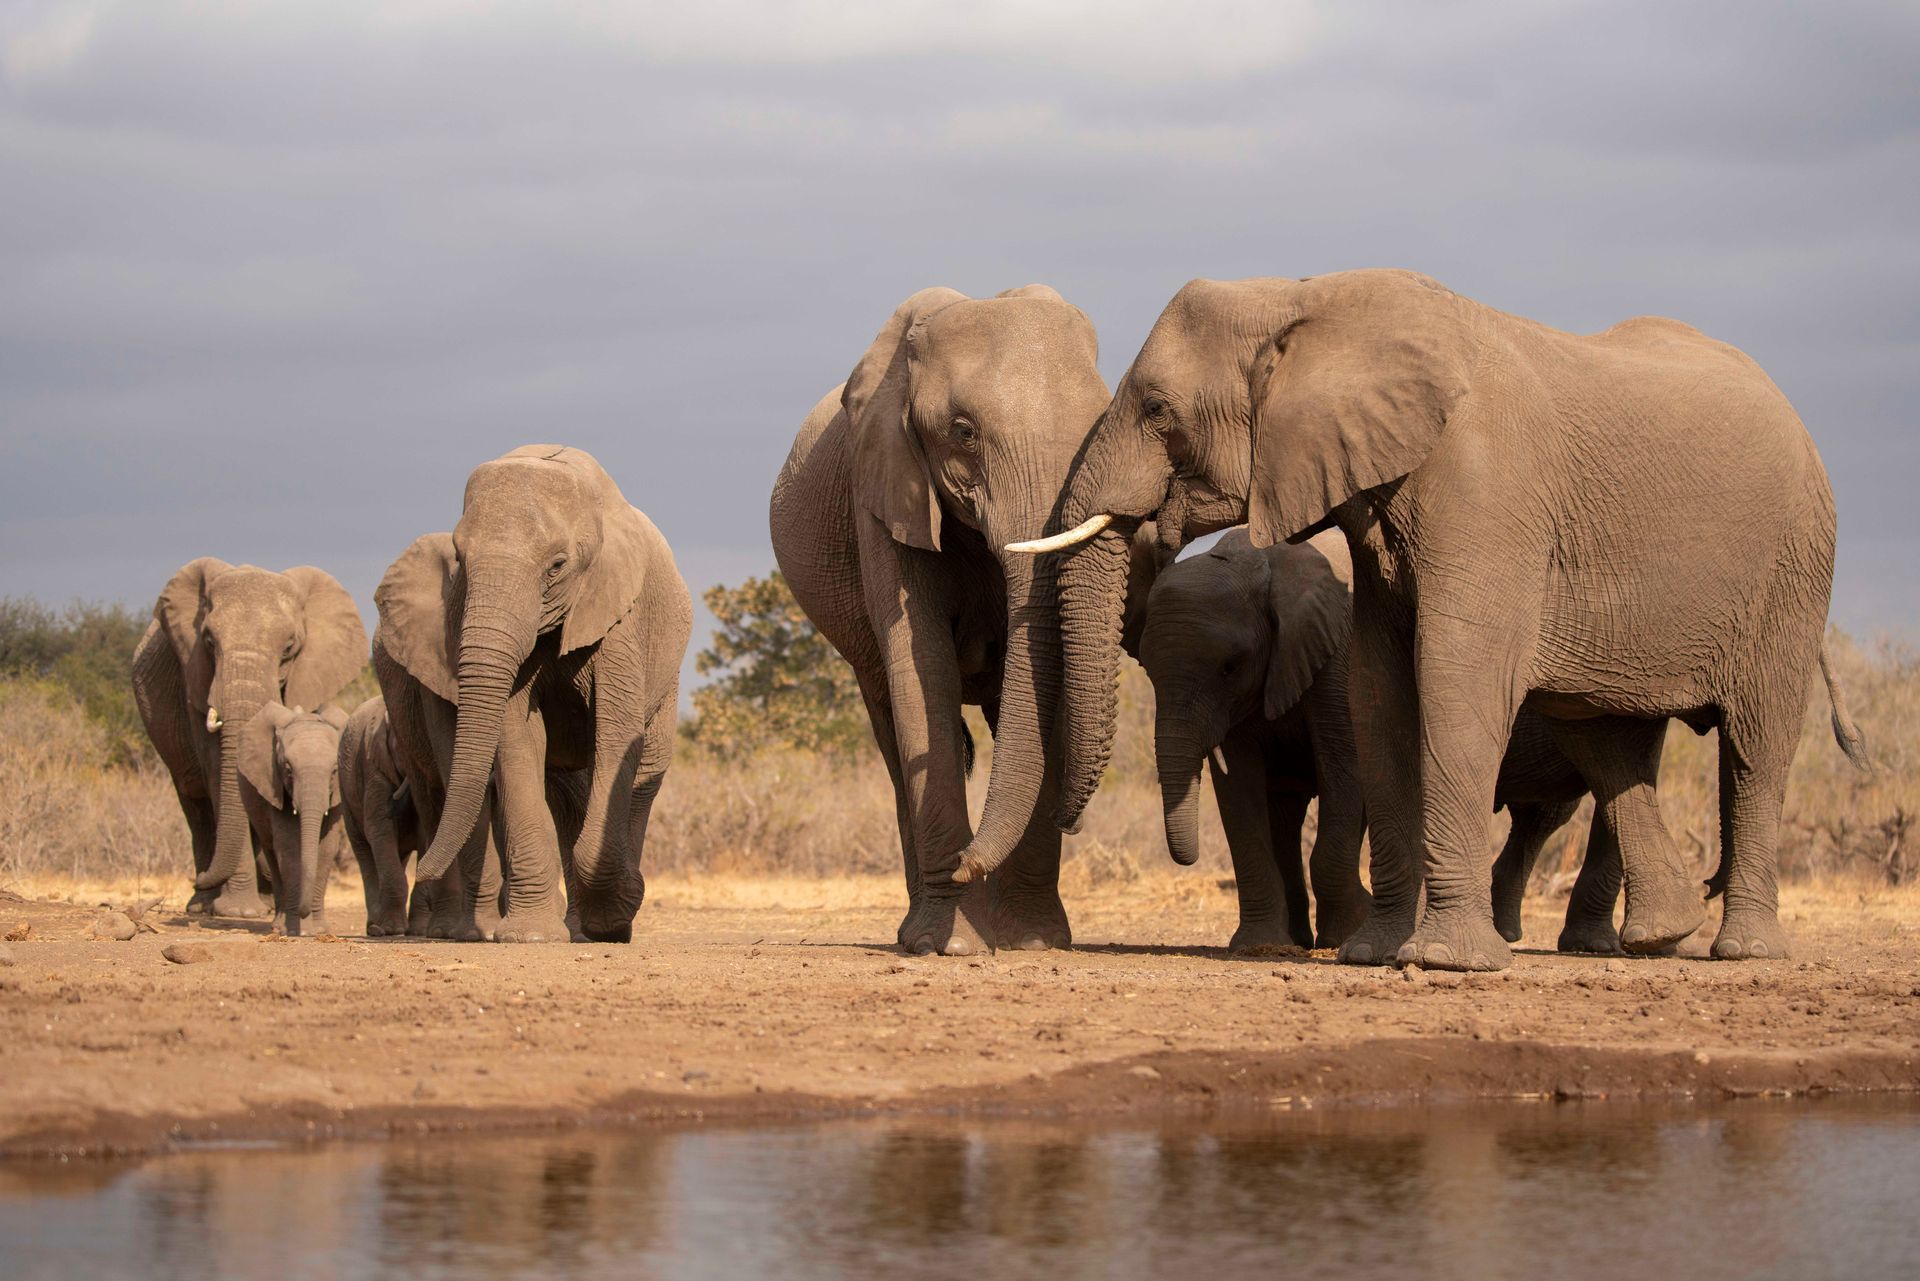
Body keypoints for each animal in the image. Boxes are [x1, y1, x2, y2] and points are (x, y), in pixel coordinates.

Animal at [238, 702, 349, 936]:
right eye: (288, 770)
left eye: (334, 770)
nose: (302, 912)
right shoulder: (274, 786)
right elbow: (289, 848)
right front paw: (299, 931)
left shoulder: (337, 795)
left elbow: (327, 848)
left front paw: (318, 931)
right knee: (271, 851)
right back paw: (278, 926)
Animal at [337, 695, 422, 937]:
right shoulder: (373, 767)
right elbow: (379, 827)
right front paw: (393, 929)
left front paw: (419, 928)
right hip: (347, 796)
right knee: (365, 852)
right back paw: (376, 927)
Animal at [374, 446, 691, 944]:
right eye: (460, 560)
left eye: (557, 566)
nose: (421, 870)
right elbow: (516, 742)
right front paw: (529, 936)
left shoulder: (621, 617)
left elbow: (615, 735)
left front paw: (614, 915)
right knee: (563, 796)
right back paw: (578, 930)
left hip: (666, 677)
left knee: (643, 775)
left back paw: (607, 926)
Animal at [769, 285, 1113, 955]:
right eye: (963, 431)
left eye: (1100, 429)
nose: (966, 863)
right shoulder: (879, 491)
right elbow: (921, 670)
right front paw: (949, 945)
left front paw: (1034, 943)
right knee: (892, 731)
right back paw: (917, 932)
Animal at [970, 268, 1867, 970]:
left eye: (1157, 410)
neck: (1305, 299)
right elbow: (1381, 695)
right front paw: (1374, 953)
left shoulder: (1486, 493)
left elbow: (1456, 682)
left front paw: (1446, 962)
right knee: (1609, 741)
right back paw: (1658, 937)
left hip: (1795, 565)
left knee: (1755, 743)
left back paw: (1739, 950)